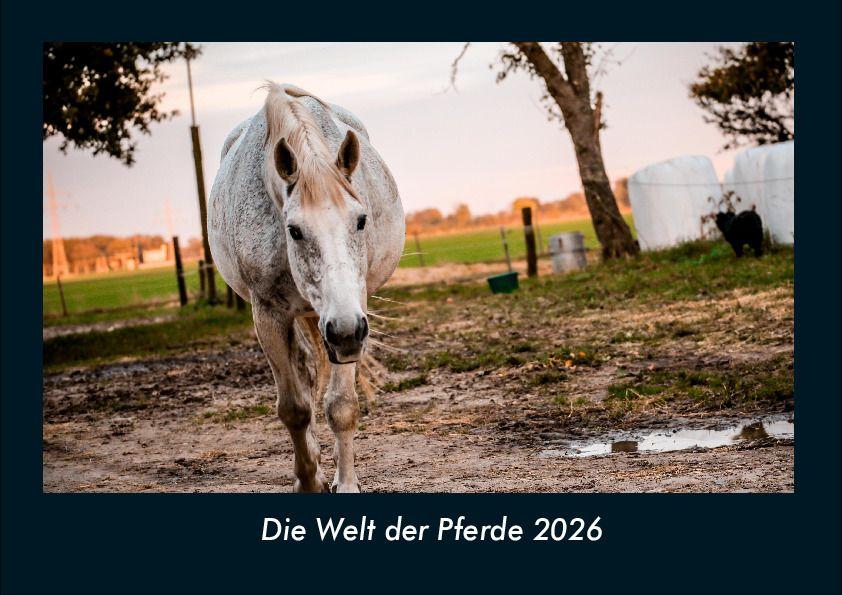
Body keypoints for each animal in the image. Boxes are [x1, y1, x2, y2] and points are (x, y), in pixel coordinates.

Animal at [208, 83, 405, 492]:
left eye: (361, 220)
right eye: (294, 230)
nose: (345, 331)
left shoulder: (354, 315)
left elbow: (341, 406)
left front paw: (345, 483)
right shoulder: (268, 314)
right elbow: (295, 409)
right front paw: (309, 479)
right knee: (302, 372)